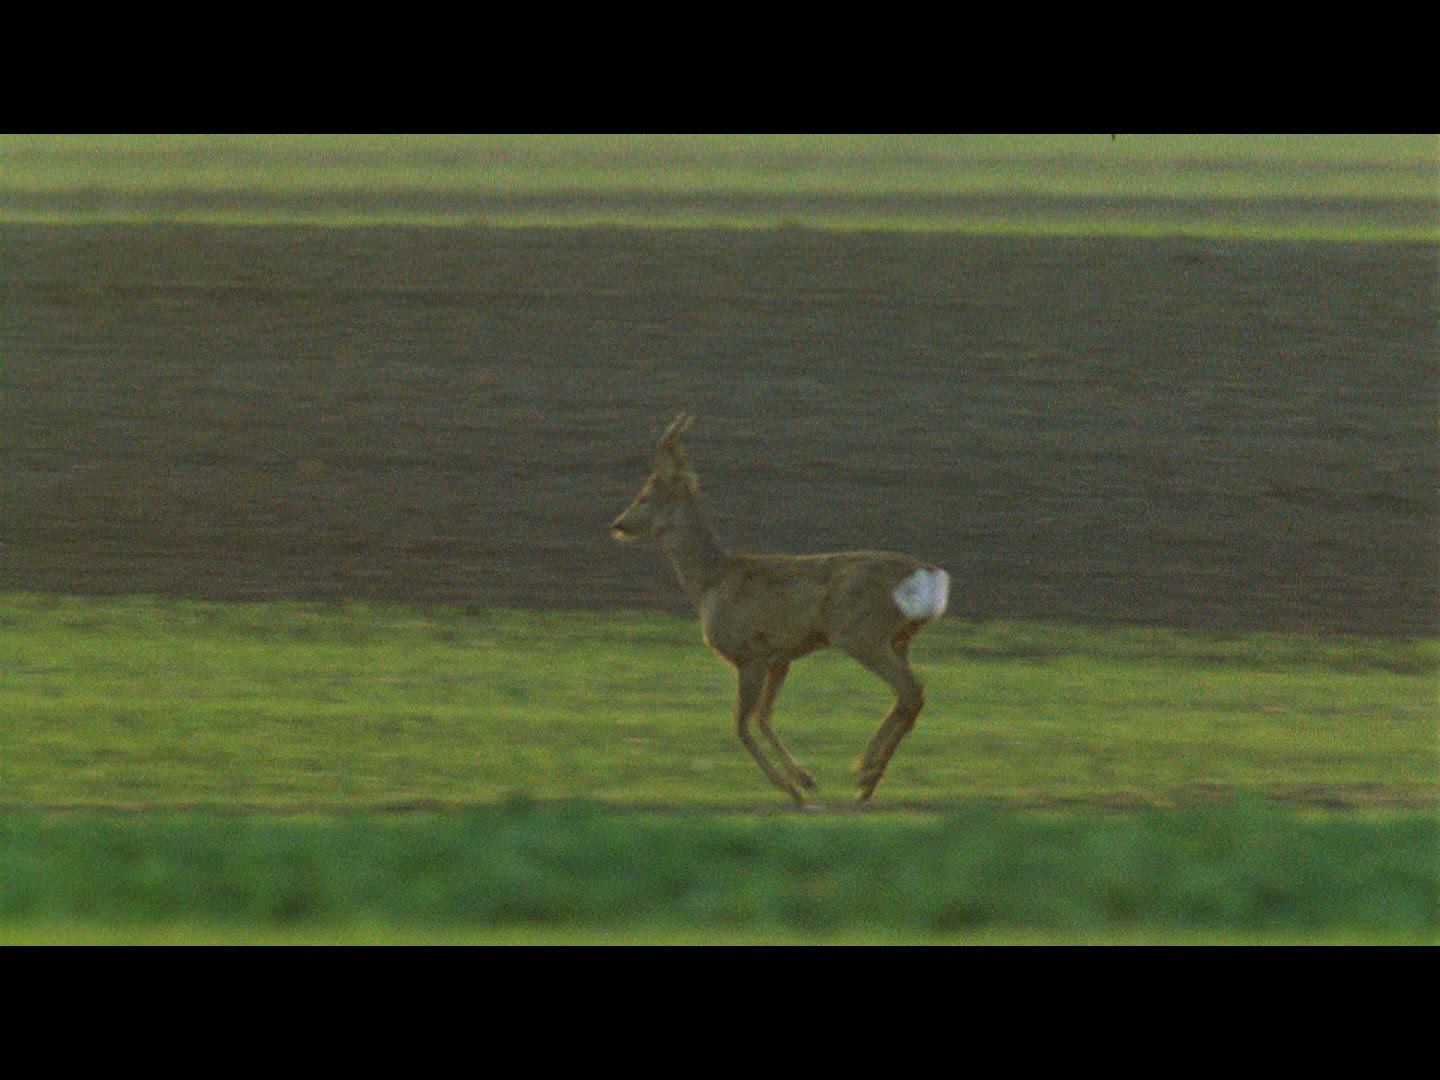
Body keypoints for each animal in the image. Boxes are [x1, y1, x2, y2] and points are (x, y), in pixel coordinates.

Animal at [610, 412, 950, 806]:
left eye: (644, 496)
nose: (618, 523)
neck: (711, 580)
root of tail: (929, 575)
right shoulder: (780, 657)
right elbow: (763, 717)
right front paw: (805, 778)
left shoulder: (750, 654)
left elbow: (742, 725)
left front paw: (792, 788)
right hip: (898, 638)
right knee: (910, 696)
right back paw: (867, 779)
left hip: (860, 632)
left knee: (910, 690)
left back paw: (864, 773)